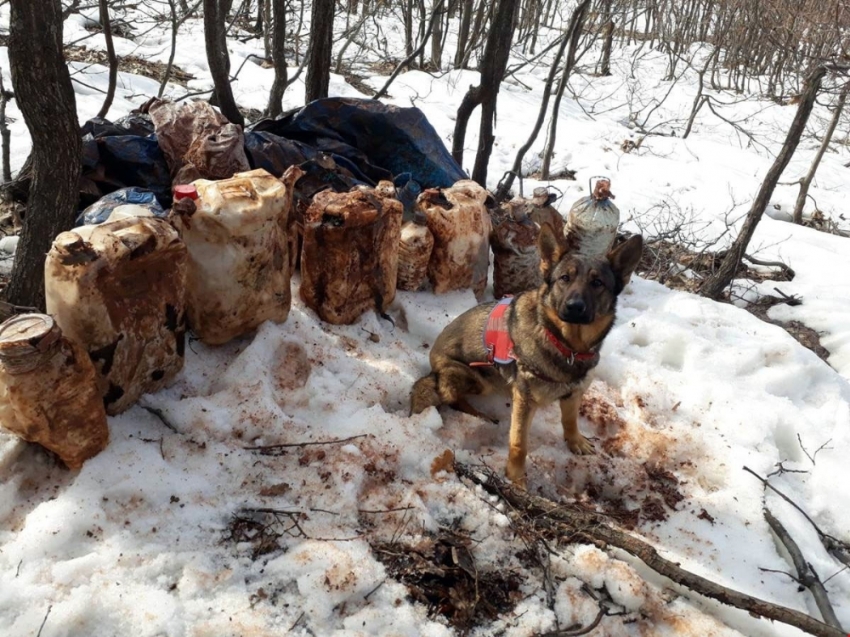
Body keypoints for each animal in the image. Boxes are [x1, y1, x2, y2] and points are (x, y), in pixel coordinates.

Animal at [408, 225, 640, 486]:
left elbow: (570, 421)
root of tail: (433, 366)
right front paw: (516, 479)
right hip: (474, 377)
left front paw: (575, 441)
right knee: (452, 398)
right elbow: (519, 443)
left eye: (597, 282)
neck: (566, 344)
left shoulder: (573, 393)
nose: (574, 307)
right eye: (565, 278)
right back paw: (481, 416)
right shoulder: (525, 400)